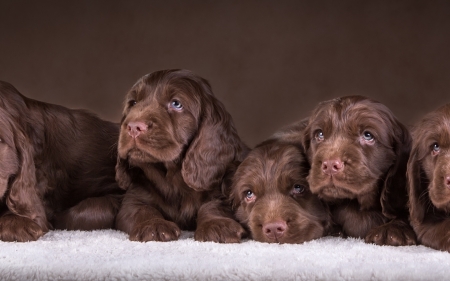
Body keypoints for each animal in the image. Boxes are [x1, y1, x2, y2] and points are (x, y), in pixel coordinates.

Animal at [115, 69, 250, 242]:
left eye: (176, 104)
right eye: (133, 103)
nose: (133, 127)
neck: (172, 175)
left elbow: (213, 206)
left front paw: (217, 225)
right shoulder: (134, 198)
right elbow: (141, 209)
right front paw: (153, 225)